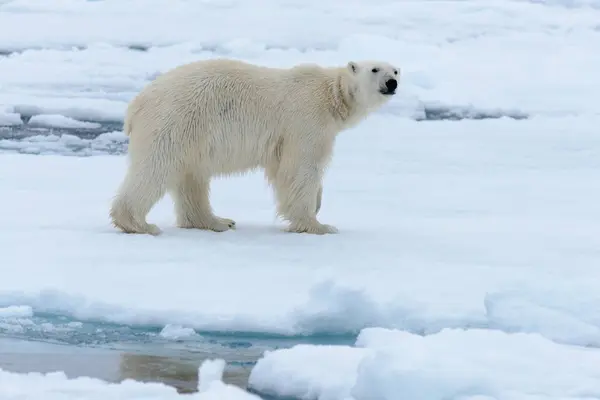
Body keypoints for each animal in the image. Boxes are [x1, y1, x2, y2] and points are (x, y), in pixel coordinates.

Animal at [109, 57, 398, 236]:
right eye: (374, 69)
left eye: (395, 70)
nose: (392, 83)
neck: (331, 94)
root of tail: (136, 103)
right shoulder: (306, 120)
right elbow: (301, 169)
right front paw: (318, 224)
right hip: (176, 121)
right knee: (156, 168)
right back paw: (138, 223)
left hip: (191, 134)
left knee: (192, 177)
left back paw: (217, 221)